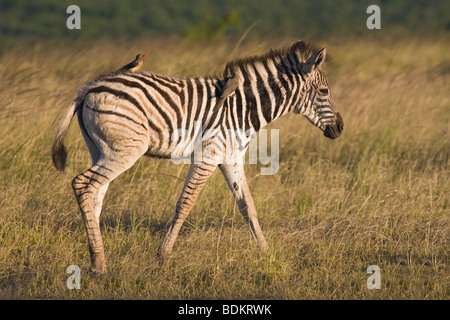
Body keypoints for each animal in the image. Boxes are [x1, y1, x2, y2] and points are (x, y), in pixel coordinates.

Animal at [51, 40, 342, 276]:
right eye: (325, 92)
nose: (340, 128)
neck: (242, 108)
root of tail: (89, 88)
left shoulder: (231, 158)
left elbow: (248, 206)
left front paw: (266, 251)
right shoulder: (208, 156)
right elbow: (186, 203)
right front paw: (163, 255)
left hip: (101, 149)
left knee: (95, 192)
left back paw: (95, 259)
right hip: (126, 149)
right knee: (82, 184)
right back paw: (100, 264)